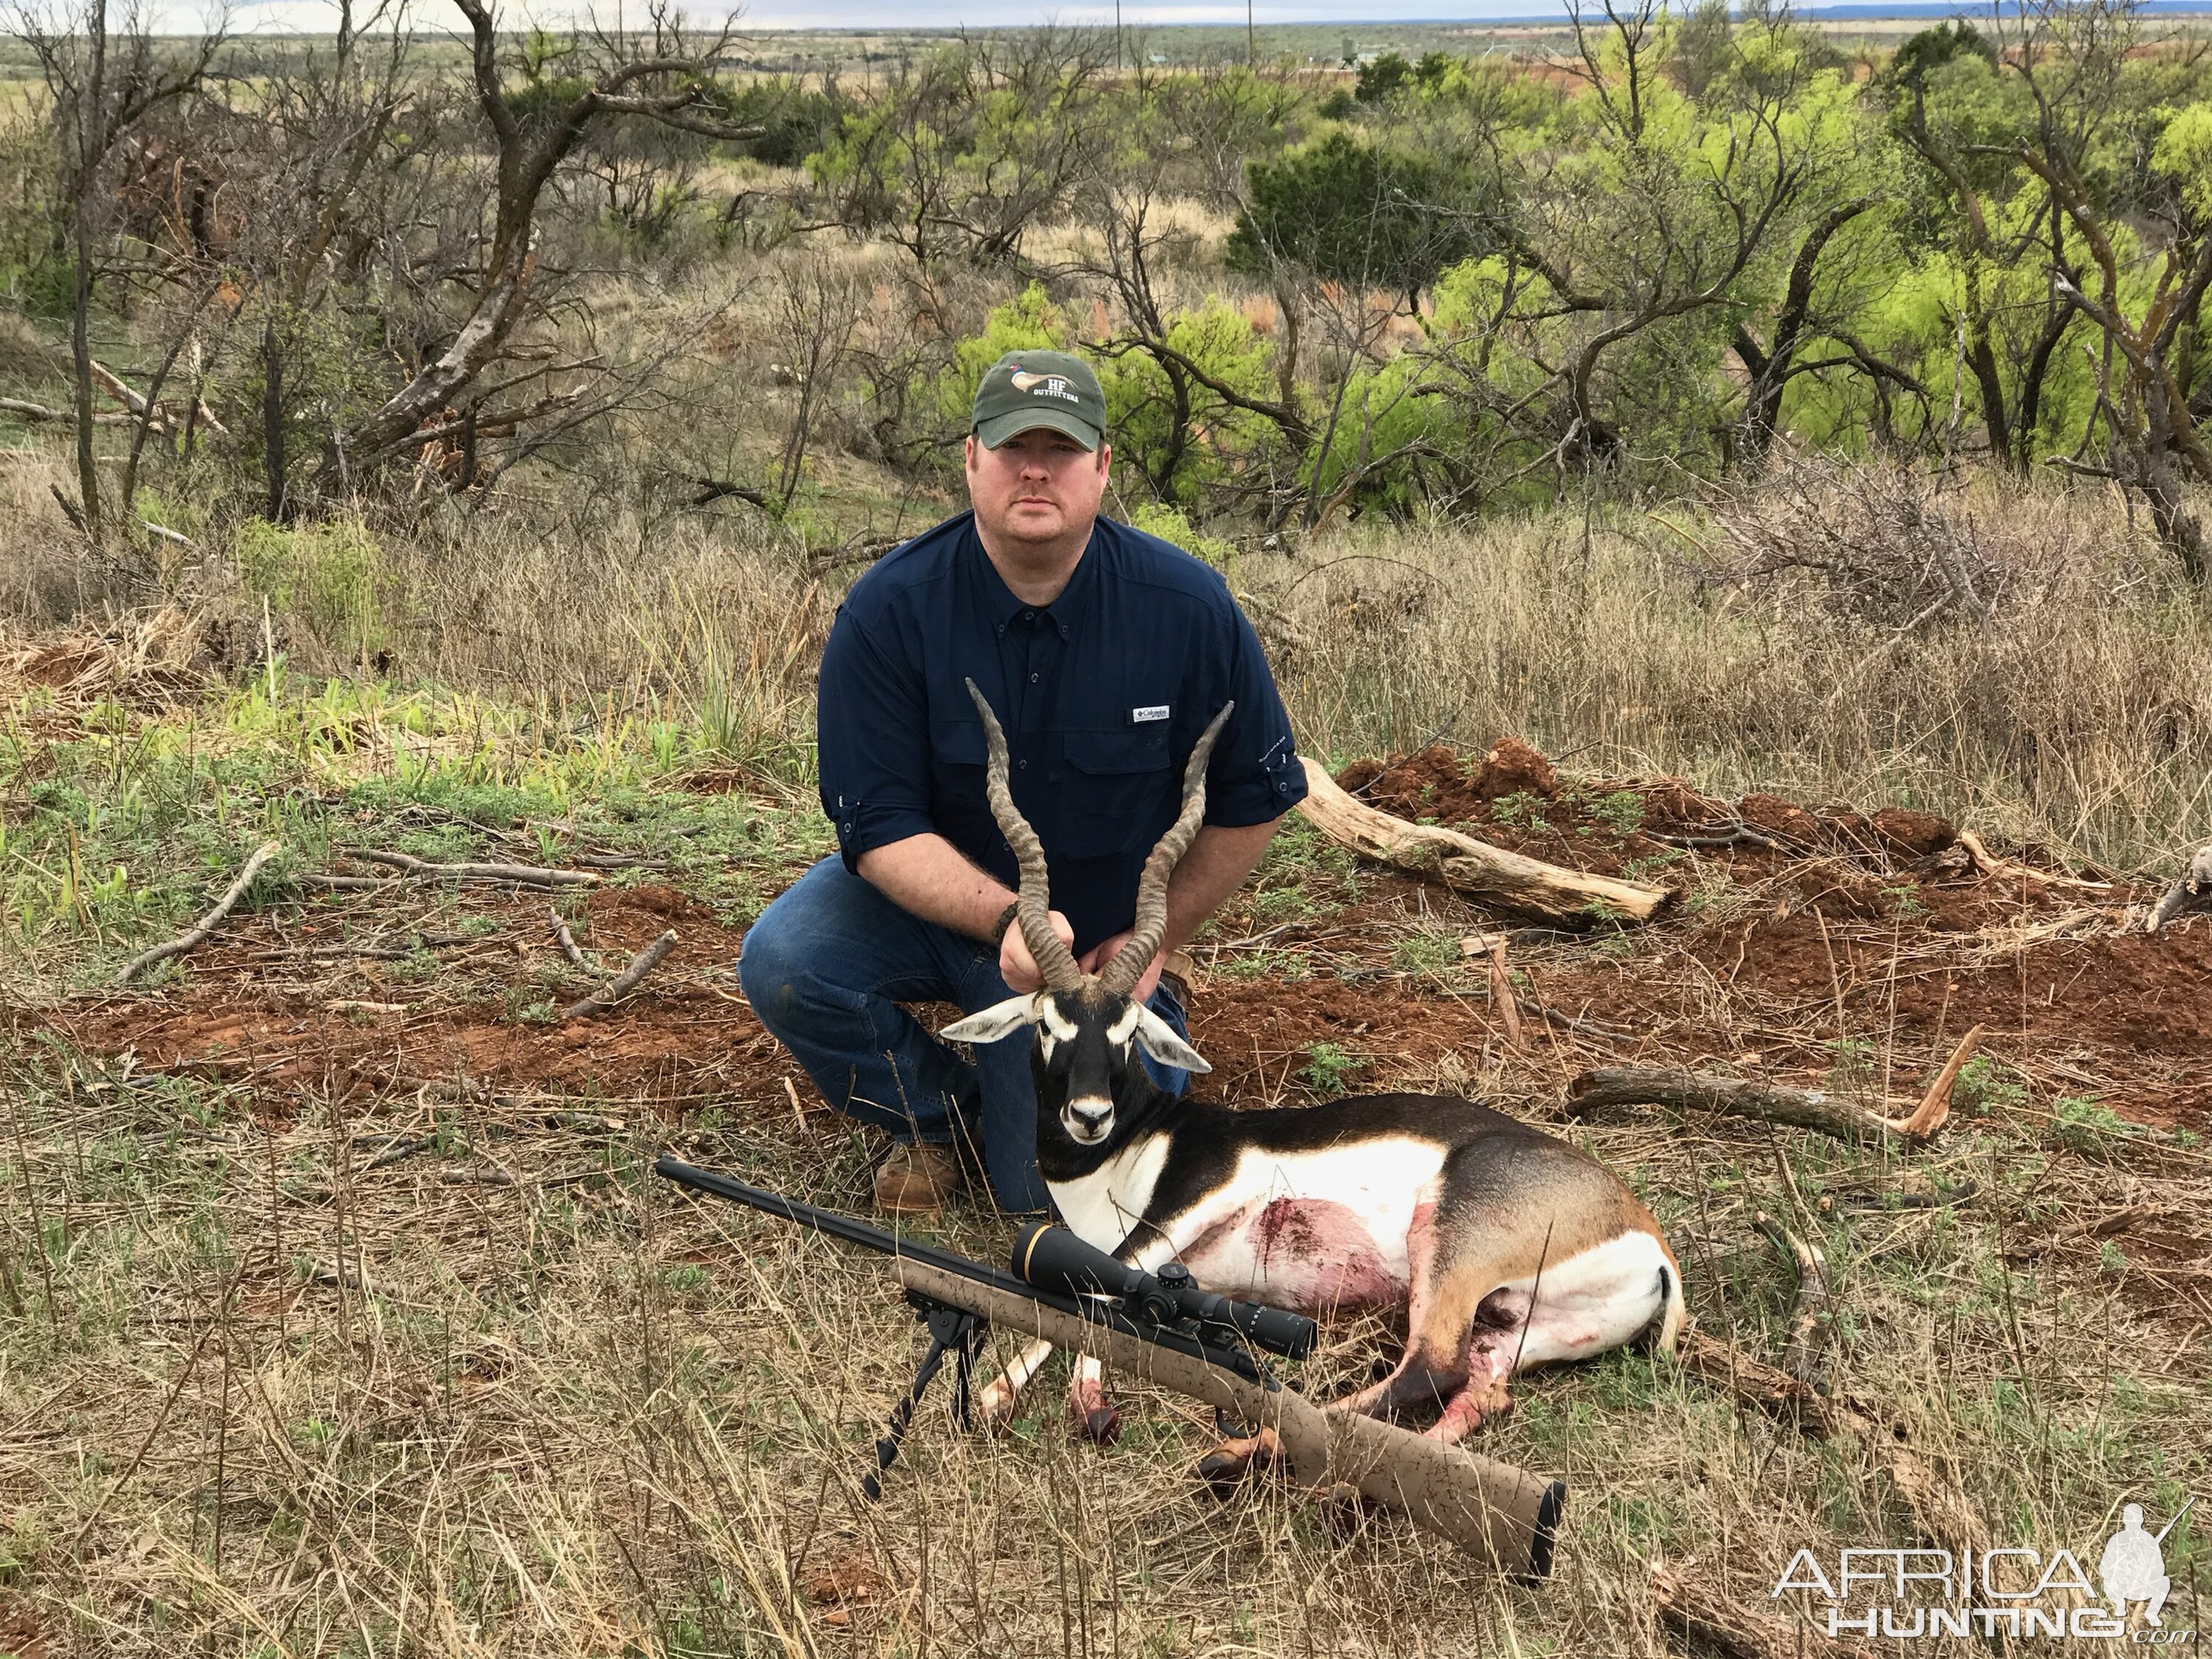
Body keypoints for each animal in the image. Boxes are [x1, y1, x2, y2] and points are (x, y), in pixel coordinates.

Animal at [942, 677, 1681, 1451]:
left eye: (1126, 1031)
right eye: (1048, 1024)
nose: (1089, 1115)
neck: (1132, 1148)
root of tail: (1651, 1242)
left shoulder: (1190, 1205)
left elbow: (1096, 1290)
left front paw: (1036, 1398)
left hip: (1449, 1250)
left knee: (1430, 1369)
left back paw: (1255, 1450)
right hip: (1520, 1326)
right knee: (1478, 1391)